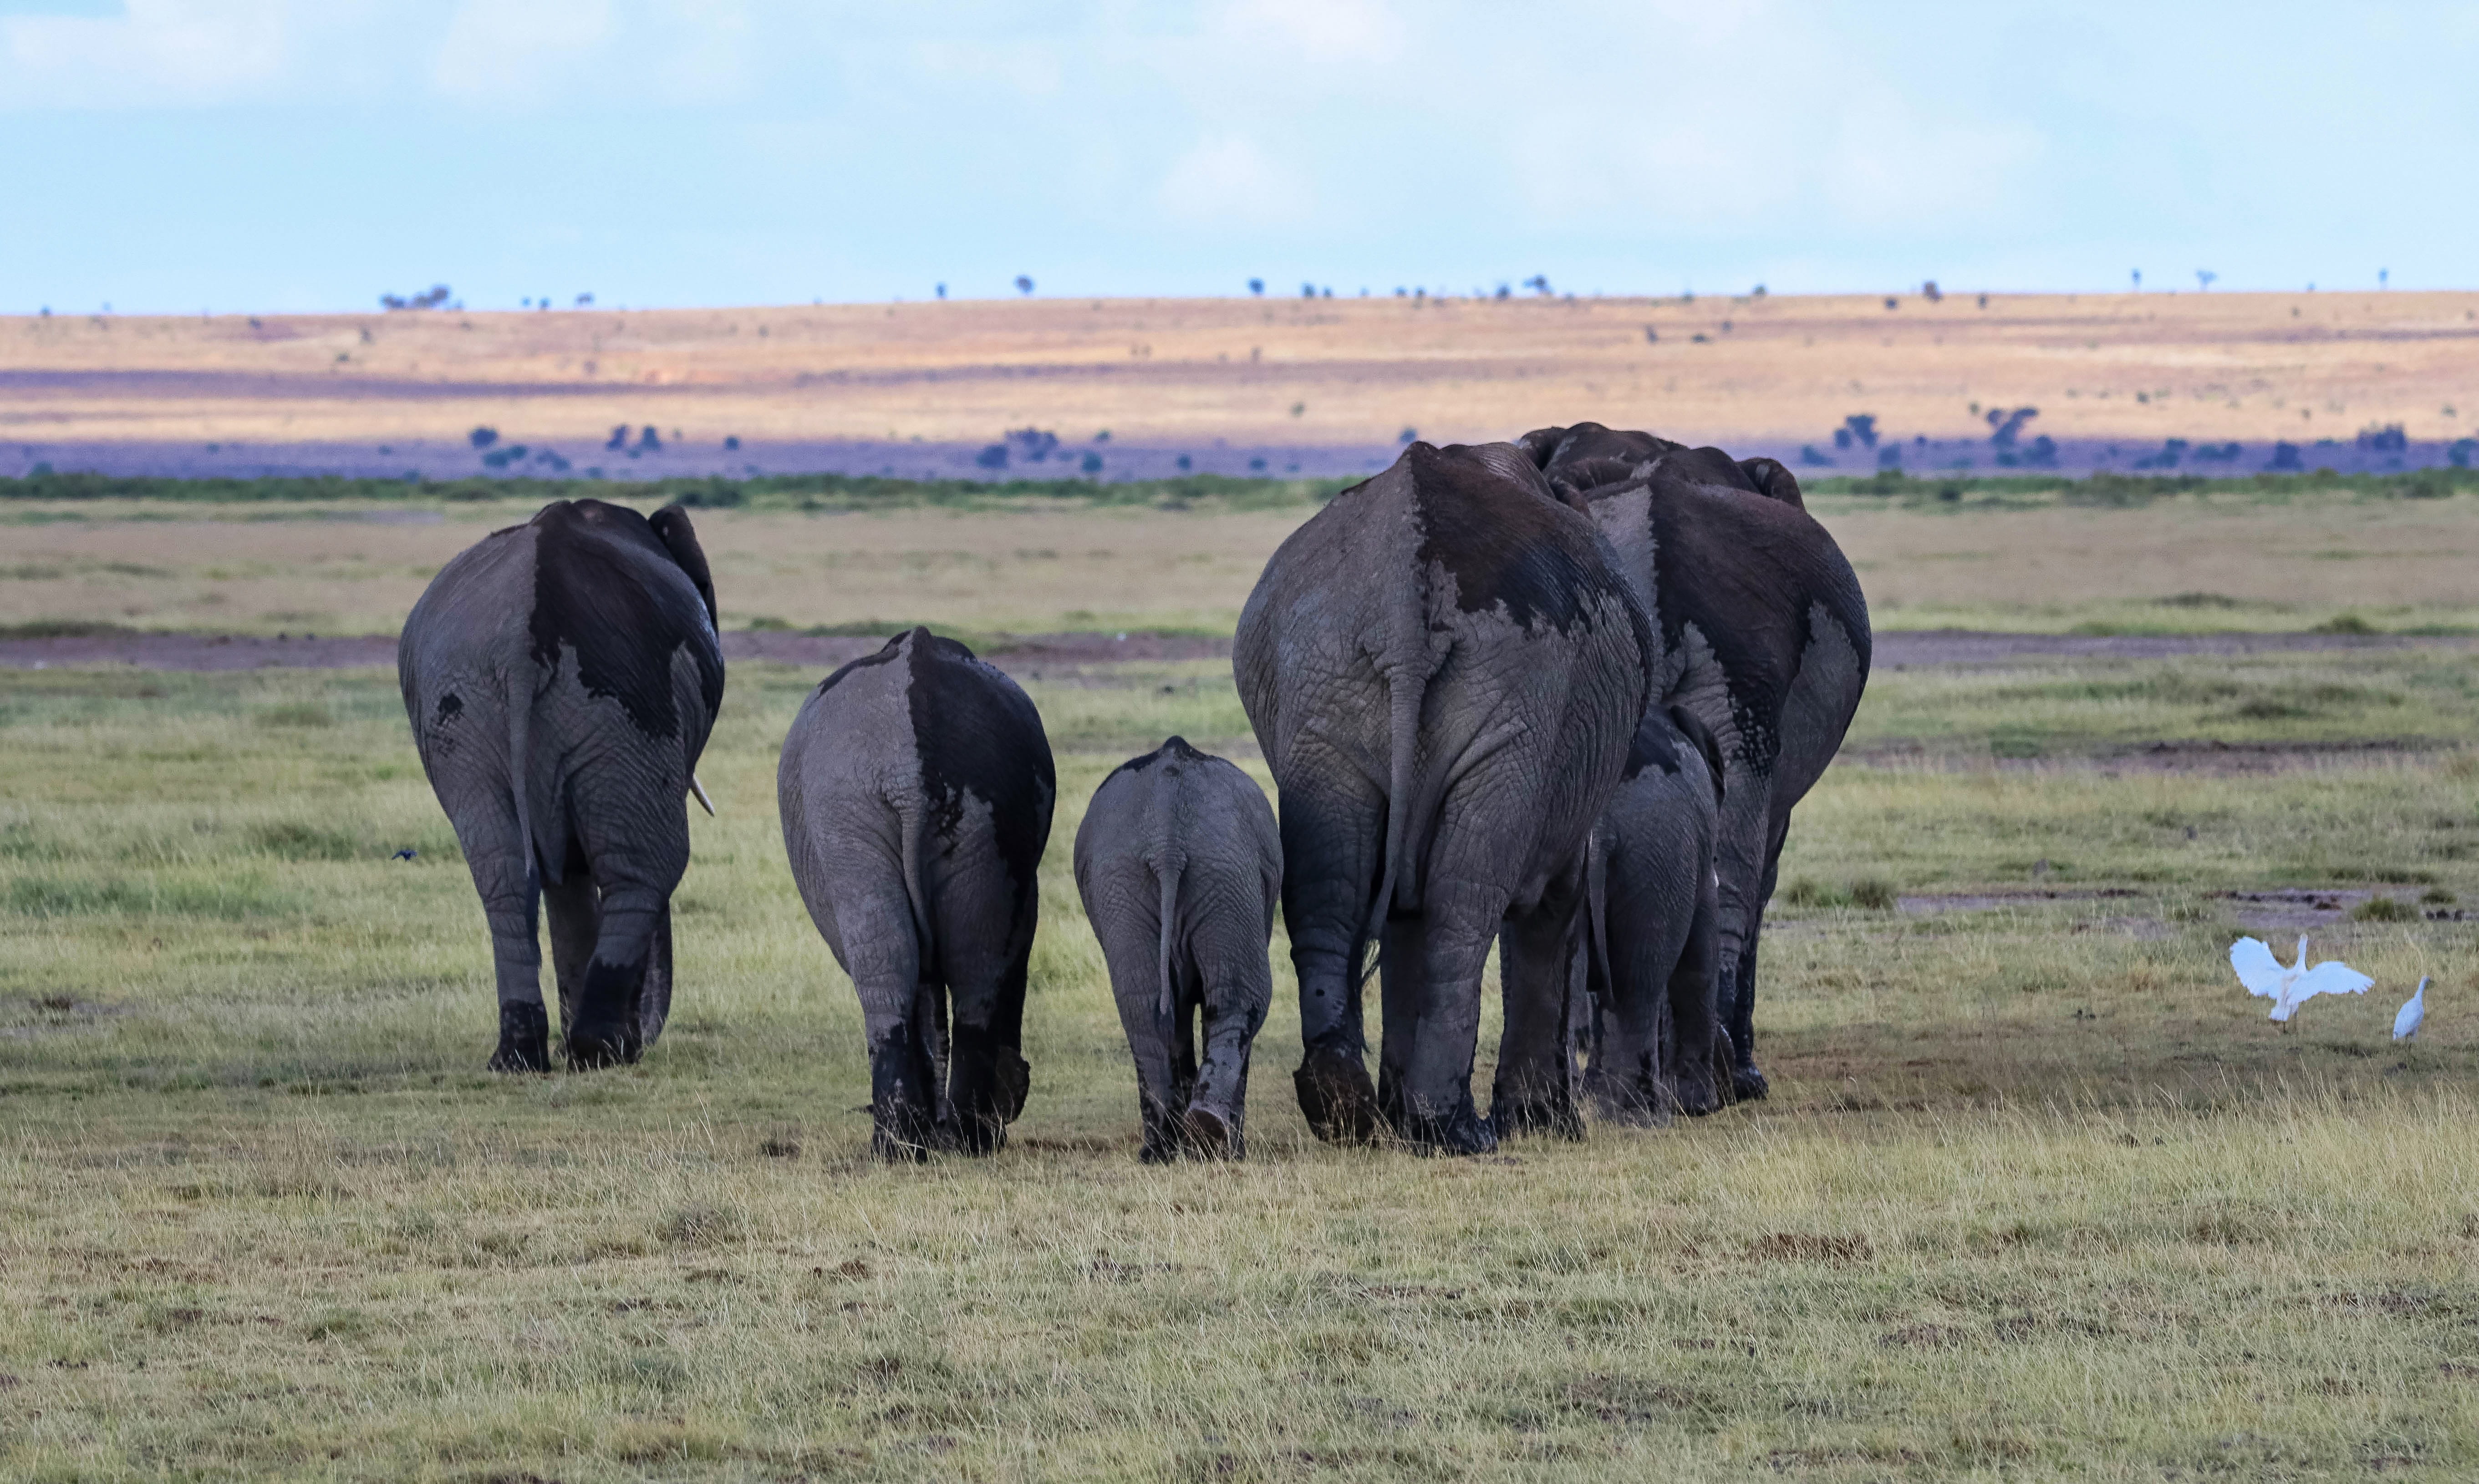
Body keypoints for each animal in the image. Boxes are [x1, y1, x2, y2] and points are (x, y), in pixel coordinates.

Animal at [398, 497, 725, 1072]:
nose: (647, 1029)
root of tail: (522, 638)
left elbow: (564, 871)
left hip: (463, 717)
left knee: (504, 873)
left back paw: (520, 1057)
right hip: (632, 706)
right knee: (644, 867)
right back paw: (602, 1050)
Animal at [777, 627, 1055, 1159]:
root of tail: (909, 766)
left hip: (857, 808)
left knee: (912, 959)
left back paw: (918, 1143)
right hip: (957, 804)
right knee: (959, 958)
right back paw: (941, 1142)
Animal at [1074, 736, 1282, 1162]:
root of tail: (1166, 839)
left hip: (1134, 878)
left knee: (1143, 1005)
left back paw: (1165, 1150)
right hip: (1223, 871)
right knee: (1240, 998)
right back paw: (1212, 1143)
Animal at [1234, 439, 1651, 1154]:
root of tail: (1403, 599)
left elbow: (1405, 910)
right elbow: (1554, 904)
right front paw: (1546, 1124)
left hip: (1322, 681)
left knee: (1331, 891)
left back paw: (1346, 1110)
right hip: (1518, 703)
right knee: (1464, 904)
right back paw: (1454, 1129)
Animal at [1577, 703, 1727, 1125]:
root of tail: (1600, 822)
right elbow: (1700, 961)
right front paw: (1698, 1108)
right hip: (1657, 858)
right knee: (1637, 985)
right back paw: (1643, 1119)